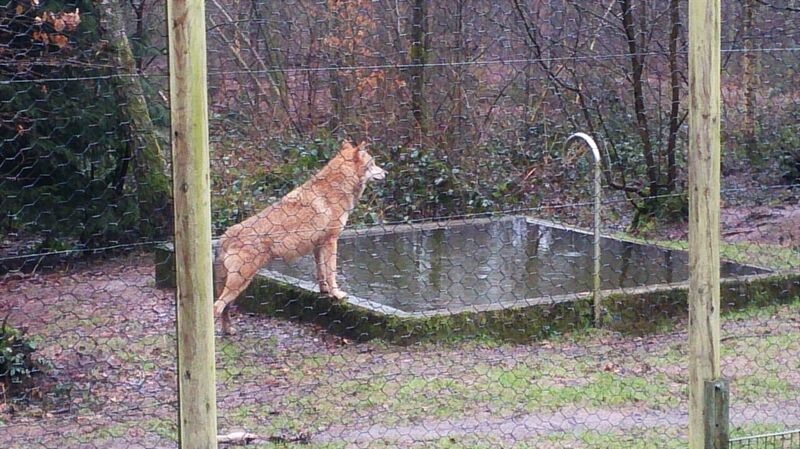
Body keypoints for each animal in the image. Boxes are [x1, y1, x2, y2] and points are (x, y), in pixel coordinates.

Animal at [212, 140, 388, 332]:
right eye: (373, 163)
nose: (386, 173)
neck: (337, 185)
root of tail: (225, 236)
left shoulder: (318, 246)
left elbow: (321, 272)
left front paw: (325, 291)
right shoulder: (331, 241)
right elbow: (332, 273)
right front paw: (337, 294)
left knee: (224, 309)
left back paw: (228, 331)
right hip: (240, 283)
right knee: (216, 307)